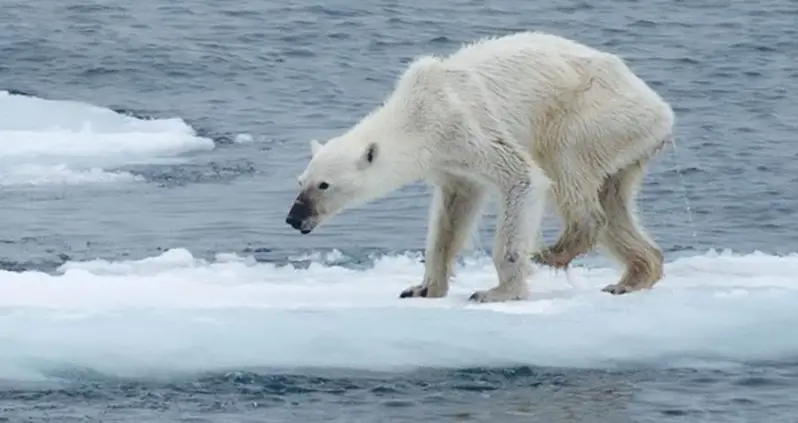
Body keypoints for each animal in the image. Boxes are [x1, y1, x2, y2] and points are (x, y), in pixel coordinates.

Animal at [285, 31, 674, 303]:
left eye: (324, 185)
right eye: (300, 181)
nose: (293, 218)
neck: (418, 113)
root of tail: (661, 110)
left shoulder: (465, 126)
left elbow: (523, 178)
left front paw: (497, 291)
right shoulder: (450, 163)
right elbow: (452, 215)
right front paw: (422, 287)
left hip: (594, 114)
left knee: (567, 164)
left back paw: (554, 251)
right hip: (624, 143)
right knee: (614, 202)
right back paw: (632, 277)